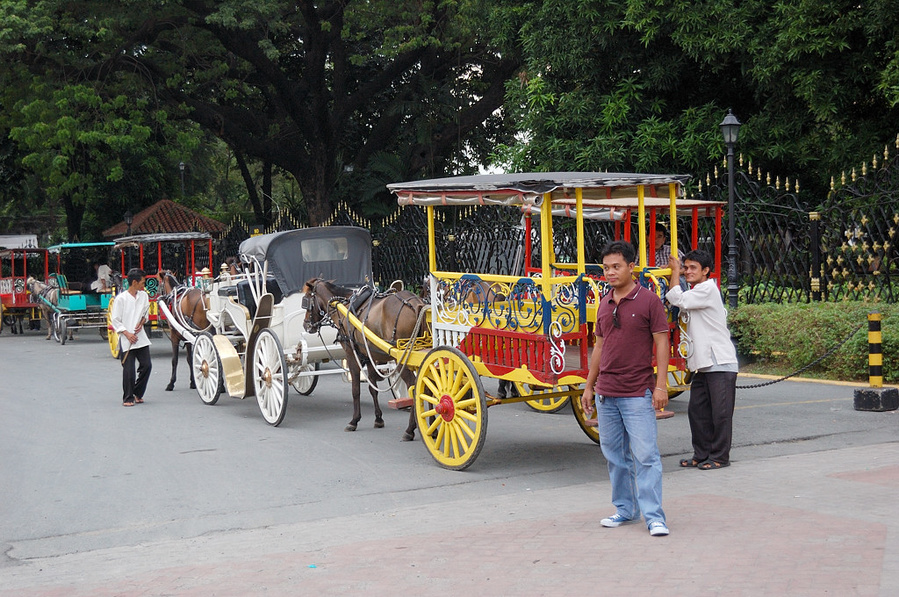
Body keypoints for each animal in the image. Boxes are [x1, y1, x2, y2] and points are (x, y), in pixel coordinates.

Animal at [304, 278, 428, 440]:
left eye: (306, 301)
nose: (306, 325)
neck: (344, 306)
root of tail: (416, 303)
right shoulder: (369, 357)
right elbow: (372, 388)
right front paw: (378, 418)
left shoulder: (351, 354)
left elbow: (355, 389)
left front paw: (354, 421)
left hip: (402, 359)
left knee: (414, 388)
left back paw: (410, 430)